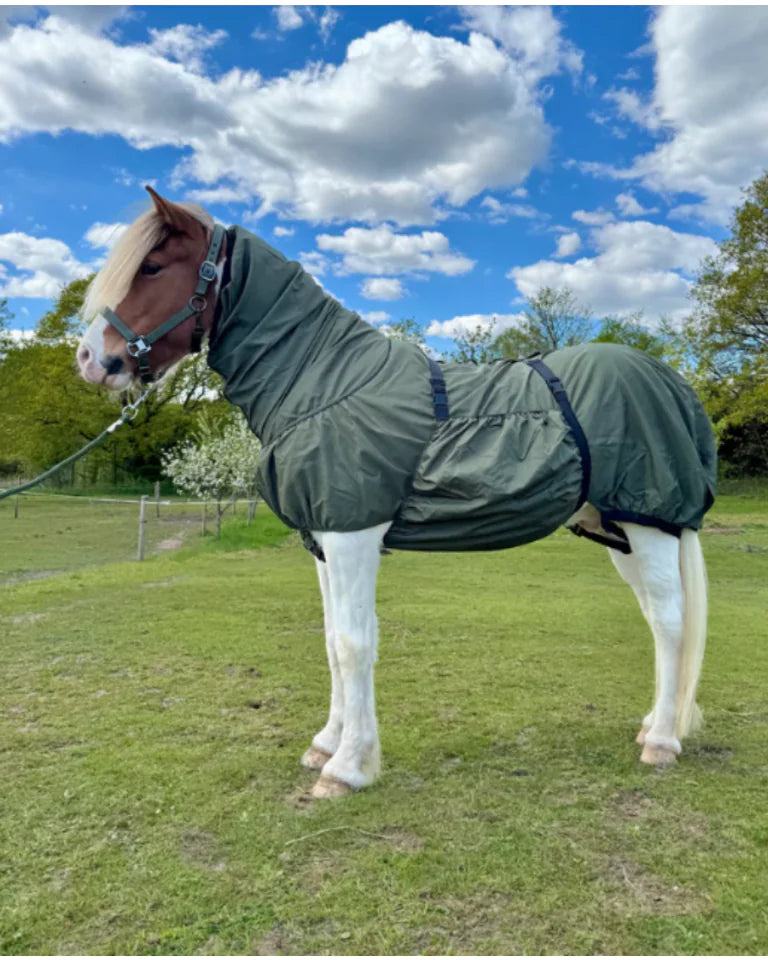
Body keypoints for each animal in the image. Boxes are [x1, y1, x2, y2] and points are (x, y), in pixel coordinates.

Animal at [77, 187, 716, 799]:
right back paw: (650, 725)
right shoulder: (323, 541)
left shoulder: (352, 534)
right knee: (655, 616)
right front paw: (326, 744)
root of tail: (671, 382)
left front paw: (347, 768)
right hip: (616, 530)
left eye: (152, 266)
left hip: (648, 523)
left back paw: (661, 742)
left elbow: (355, 644)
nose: (90, 359)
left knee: (669, 621)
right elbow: (332, 641)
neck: (322, 380)